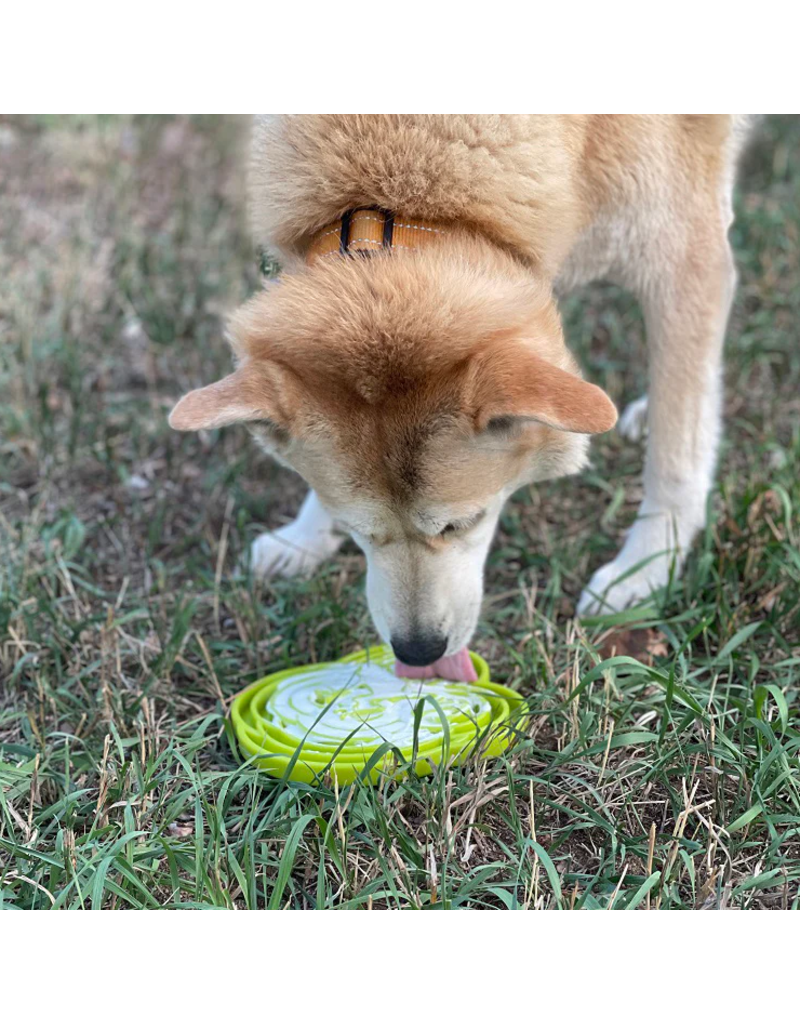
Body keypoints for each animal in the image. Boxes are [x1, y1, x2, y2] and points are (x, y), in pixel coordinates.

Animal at [170, 114, 762, 679]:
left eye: (464, 523)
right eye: (359, 532)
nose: (417, 652)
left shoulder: (687, 261)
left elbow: (678, 452)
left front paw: (648, 566)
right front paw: (304, 537)